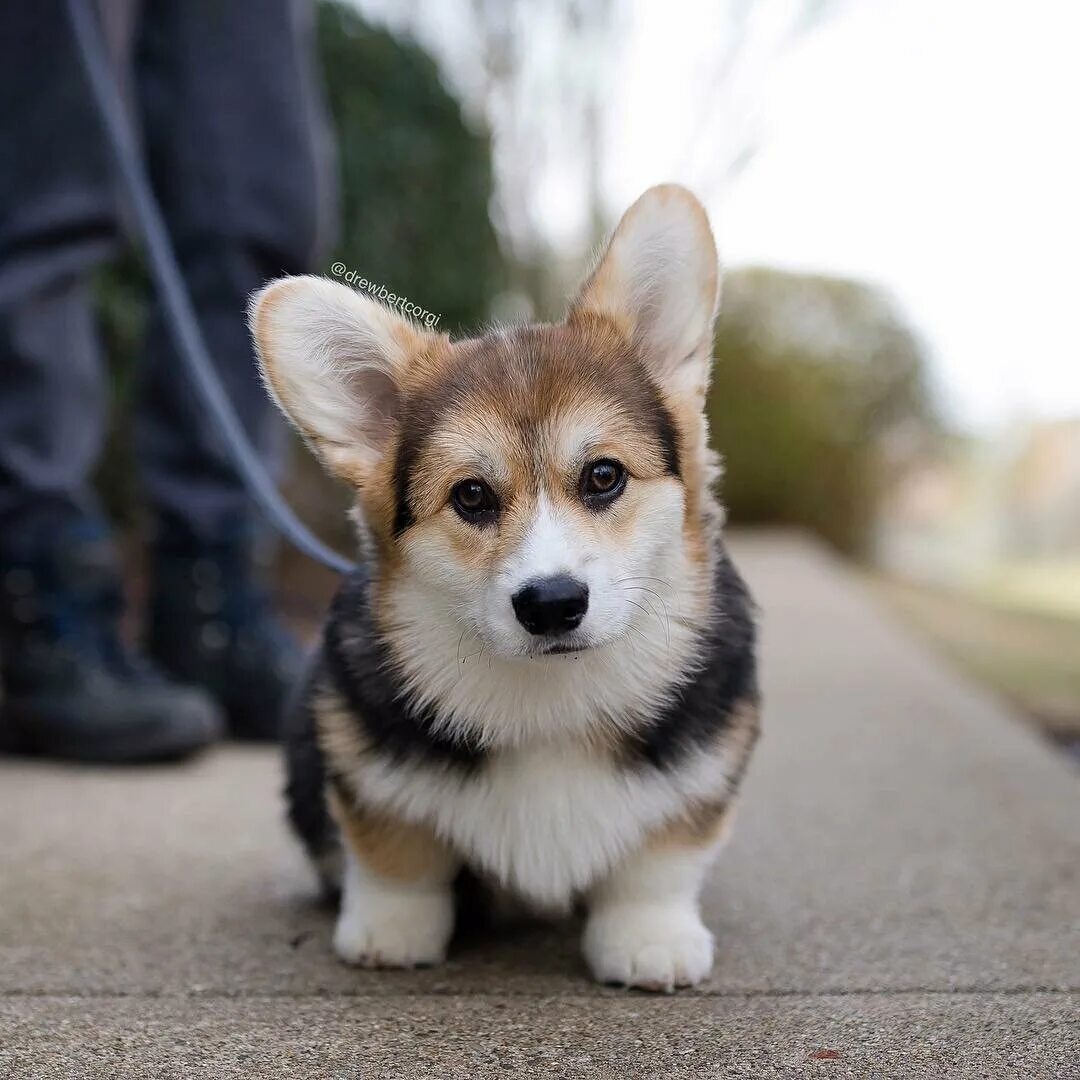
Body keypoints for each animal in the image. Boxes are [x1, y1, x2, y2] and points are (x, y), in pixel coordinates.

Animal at [249, 181, 764, 989]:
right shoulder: (364, 764)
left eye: (604, 476)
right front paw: (390, 932)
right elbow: (396, 856)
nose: (551, 605)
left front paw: (651, 940)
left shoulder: (702, 771)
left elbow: (660, 862)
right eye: (471, 496)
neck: (550, 700)